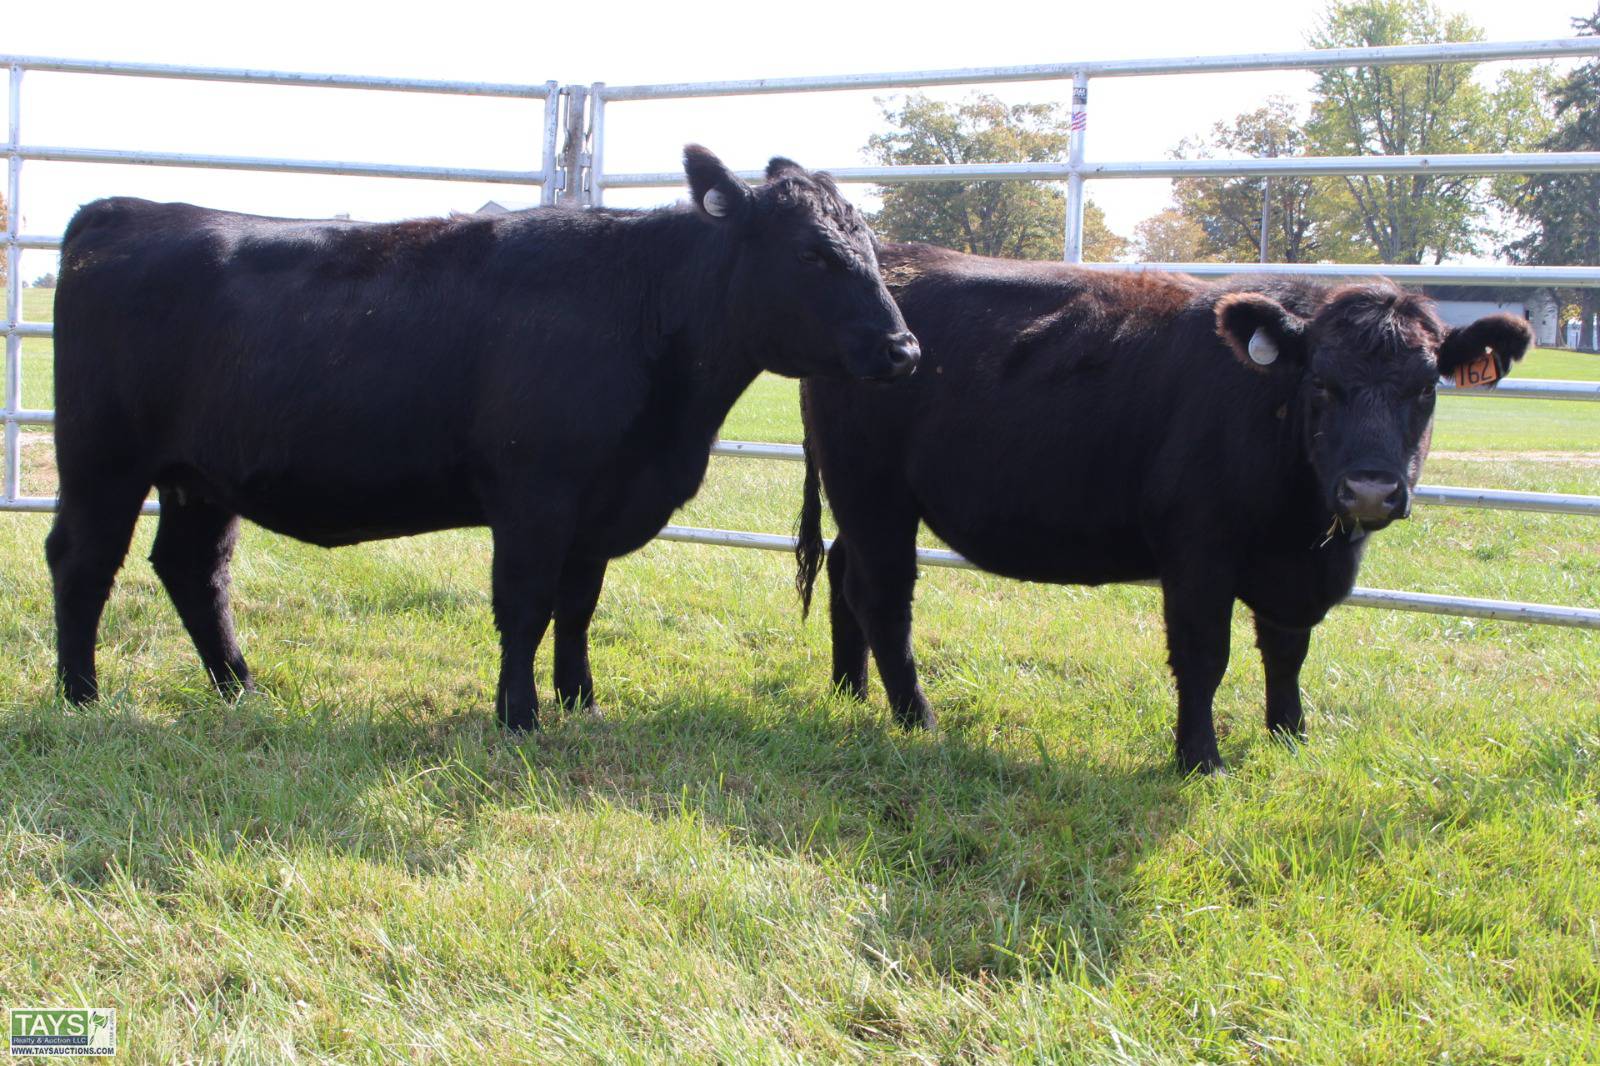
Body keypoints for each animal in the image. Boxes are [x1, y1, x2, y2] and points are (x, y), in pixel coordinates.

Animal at [48, 147, 919, 731]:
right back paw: (81, 699)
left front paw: (582, 704)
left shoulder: (600, 502)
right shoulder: (535, 492)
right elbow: (526, 604)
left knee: (194, 570)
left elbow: (578, 607)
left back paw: (240, 690)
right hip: (102, 459)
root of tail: (125, 209)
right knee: (82, 560)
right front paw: (519, 716)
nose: (903, 349)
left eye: (870, 248)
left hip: (200, 477)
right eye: (811, 252)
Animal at [795, 243, 1530, 773]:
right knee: (884, 599)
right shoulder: (1198, 553)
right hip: (874, 493)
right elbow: (1205, 656)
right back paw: (916, 719)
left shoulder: (1294, 572)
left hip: (859, 501)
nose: (1371, 490)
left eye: (1425, 389)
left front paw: (1290, 738)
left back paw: (848, 691)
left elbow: (1288, 651)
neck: (1306, 533)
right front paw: (1200, 760)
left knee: (844, 576)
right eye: (1321, 383)